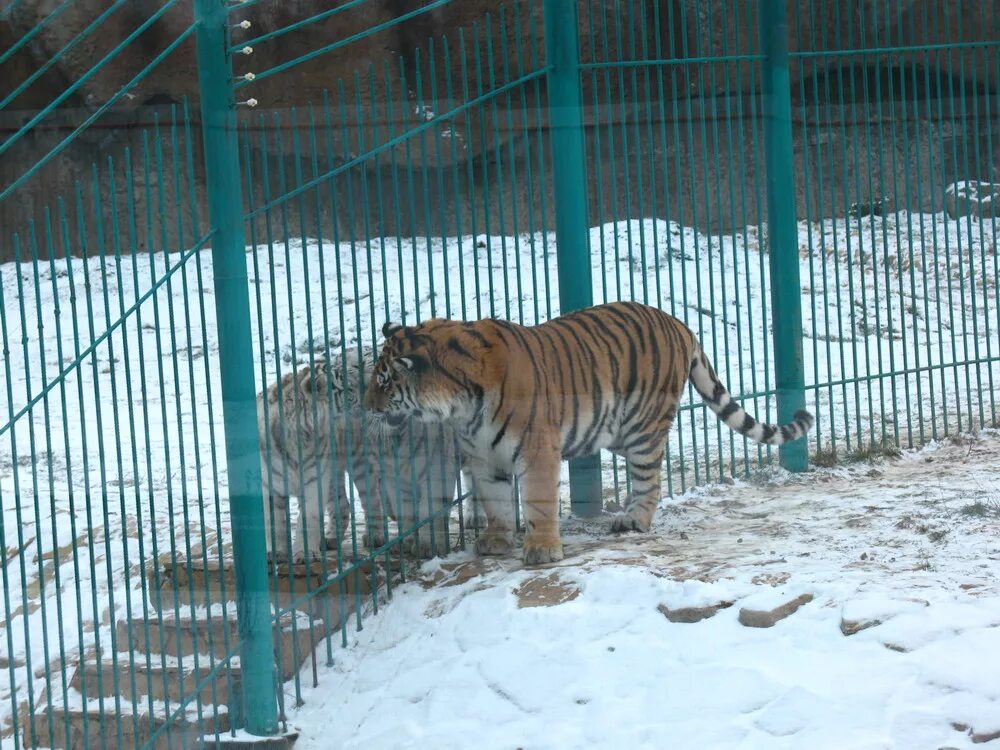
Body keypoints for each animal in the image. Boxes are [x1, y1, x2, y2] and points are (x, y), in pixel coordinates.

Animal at [258, 348, 460, 564]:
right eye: (345, 387)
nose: (368, 395)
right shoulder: (270, 484)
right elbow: (273, 522)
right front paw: (276, 553)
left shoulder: (314, 481)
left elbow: (308, 518)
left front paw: (305, 554)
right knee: (342, 505)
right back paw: (331, 539)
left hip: (360, 465)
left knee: (372, 502)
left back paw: (375, 536)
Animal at [364, 300, 816, 564]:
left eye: (385, 382)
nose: (365, 407)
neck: (461, 407)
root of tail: (679, 322)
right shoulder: (482, 457)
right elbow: (495, 502)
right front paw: (496, 540)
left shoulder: (537, 450)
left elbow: (538, 502)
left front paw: (542, 550)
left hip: (642, 428)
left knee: (649, 479)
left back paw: (633, 520)